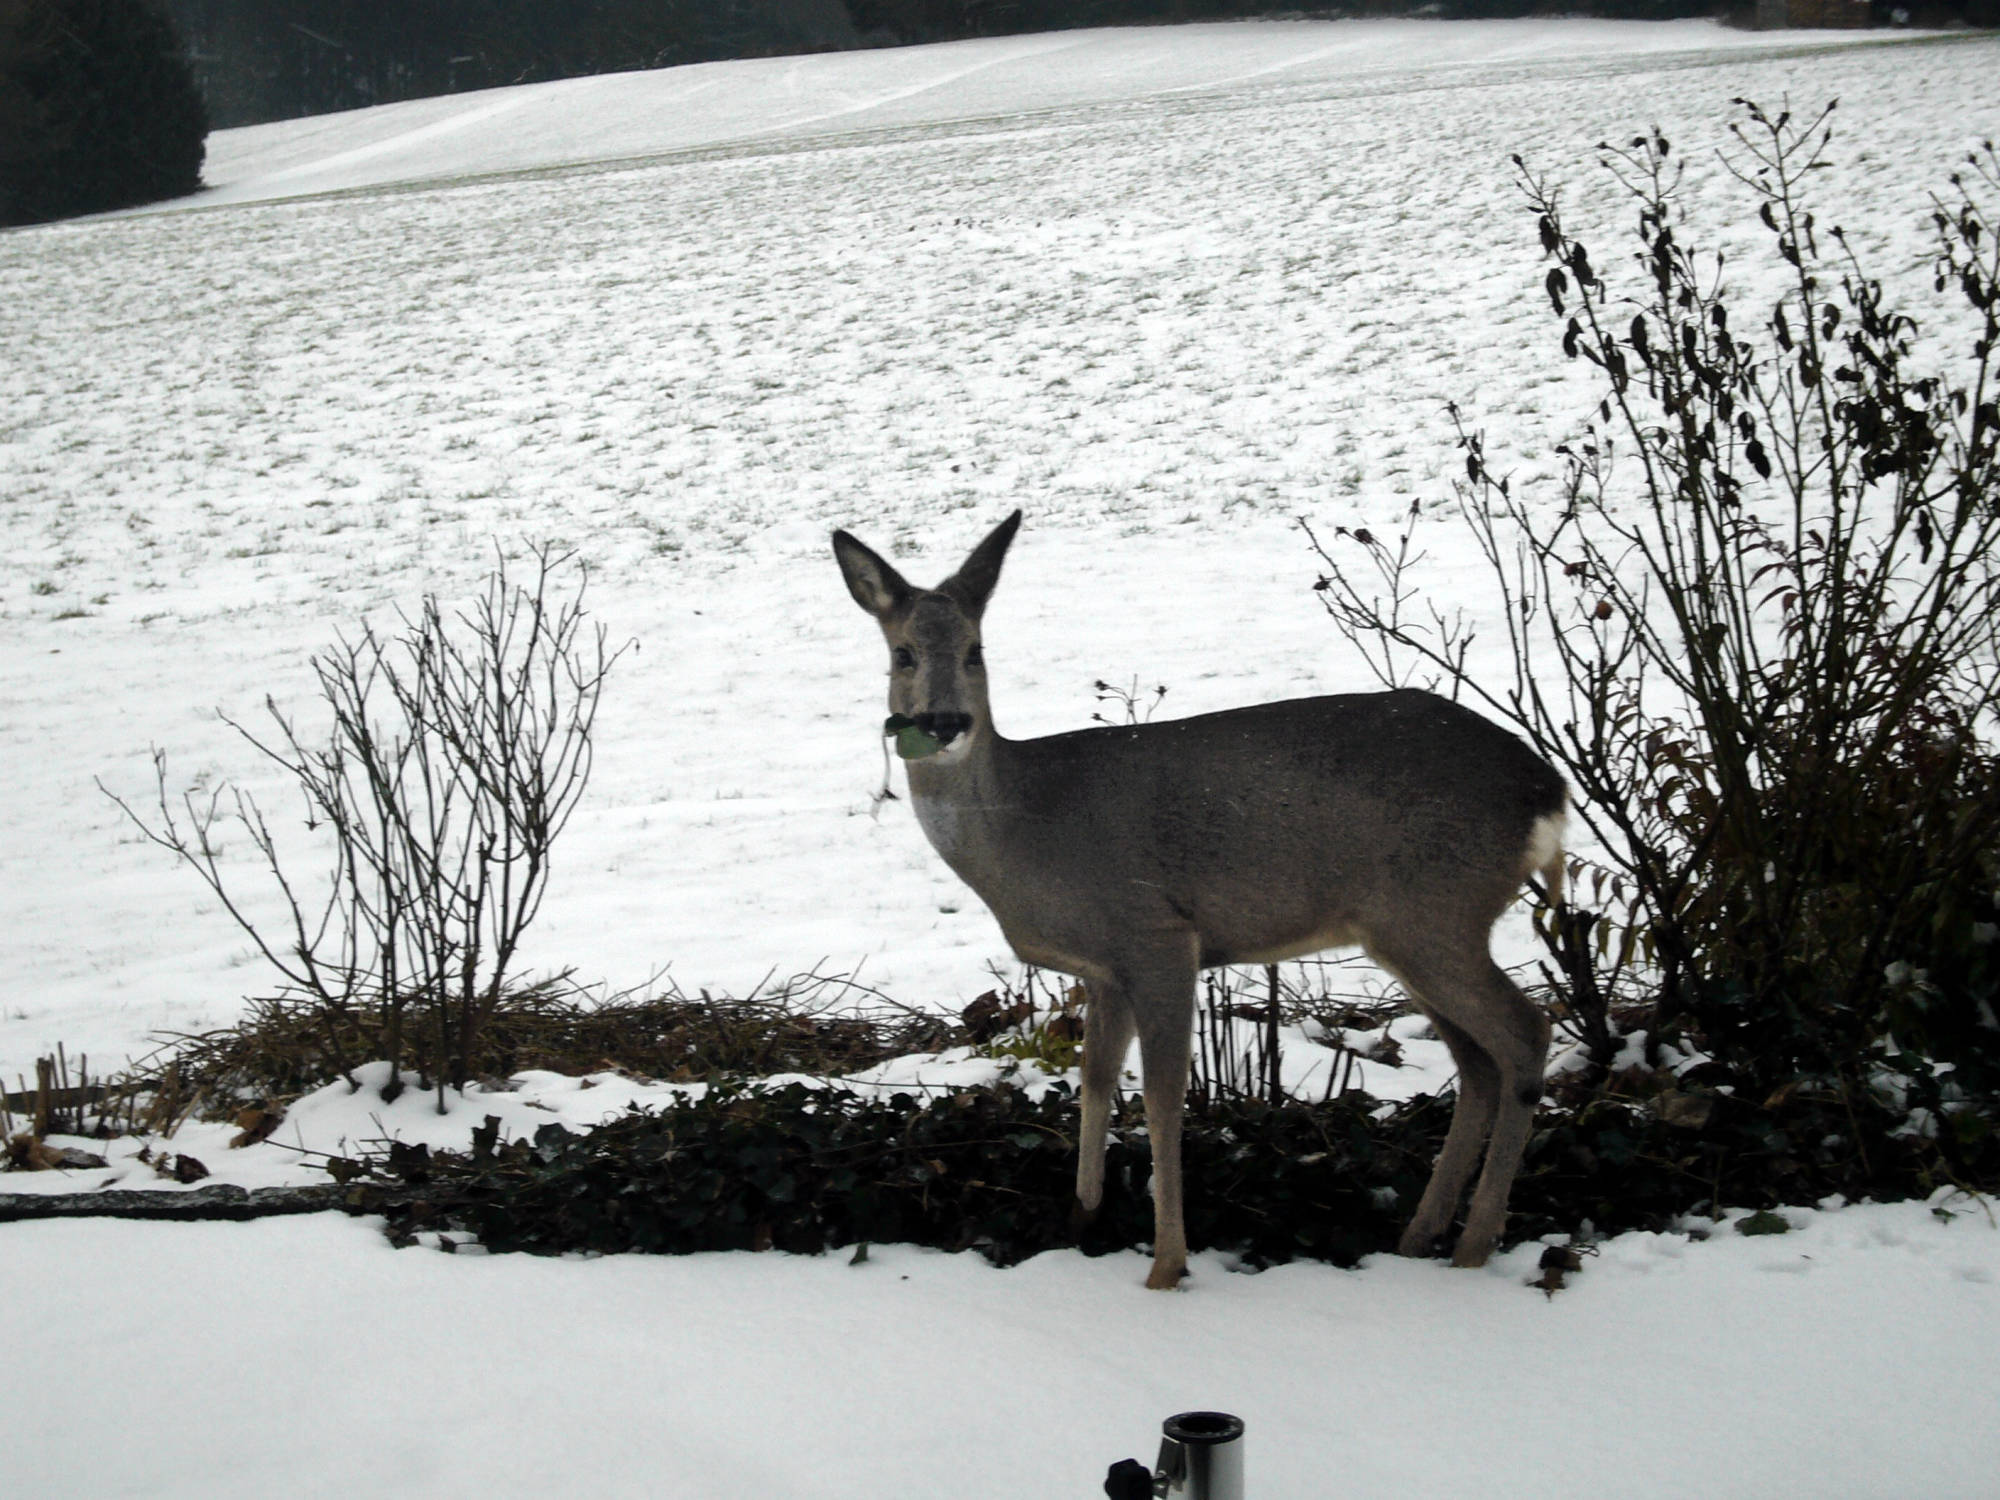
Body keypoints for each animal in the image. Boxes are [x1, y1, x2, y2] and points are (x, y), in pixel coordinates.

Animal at [831, 510, 1566, 1288]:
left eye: (976, 651)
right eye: (903, 653)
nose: (944, 722)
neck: (1027, 830)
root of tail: (1549, 792)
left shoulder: (1156, 934)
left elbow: (1161, 1096)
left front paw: (1165, 1266)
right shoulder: (1103, 968)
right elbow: (1096, 1080)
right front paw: (1082, 1220)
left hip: (1434, 912)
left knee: (1525, 1033)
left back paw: (1473, 1247)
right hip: (1410, 931)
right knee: (1479, 1064)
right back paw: (1419, 1237)